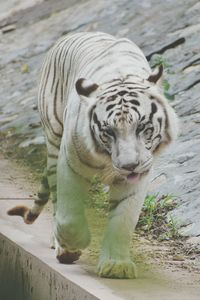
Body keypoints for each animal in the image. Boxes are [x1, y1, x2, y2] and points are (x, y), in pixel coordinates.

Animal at [8, 31, 178, 278]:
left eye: (142, 127)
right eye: (109, 132)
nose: (129, 166)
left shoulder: (139, 176)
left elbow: (123, 219)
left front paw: (116, 265)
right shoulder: (69, 163)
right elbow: (69, 215)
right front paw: (71, 247)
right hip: (54, 141)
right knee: (57, 201)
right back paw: (59, 242)